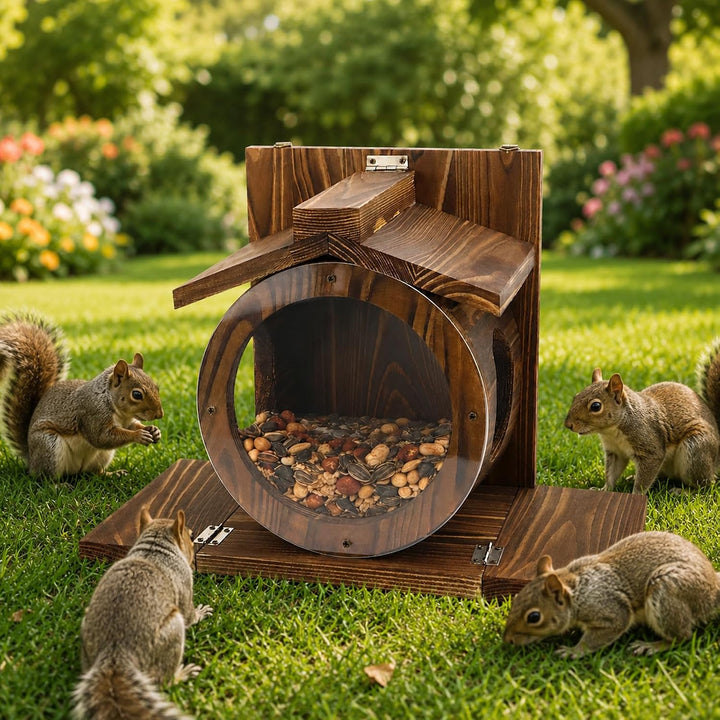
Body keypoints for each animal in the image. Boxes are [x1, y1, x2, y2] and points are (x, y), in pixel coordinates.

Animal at [0, 311, 163, 477]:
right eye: (137, 395)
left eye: (156, 387)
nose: (159, 414)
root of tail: (31, 458)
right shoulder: (92, 414)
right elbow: (102, 438)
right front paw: (138, 435)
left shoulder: (126, 421)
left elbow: (132, 425)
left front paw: (153, 430)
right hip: (49, 446)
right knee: (45, 476)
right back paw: (59, 482)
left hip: (102, 456)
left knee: (95, 472)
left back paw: (112, 474)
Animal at [72, 507, 213, 720]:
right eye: (190, 536)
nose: (194, 543)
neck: (154, 547)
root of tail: (115, 652)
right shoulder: (184, 584)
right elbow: (190, 615)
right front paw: (201, 612)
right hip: (173, 631)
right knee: (164, 679)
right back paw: (182, 674)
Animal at [503, 531, 720, 658]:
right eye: (516, 598)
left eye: (534, 617)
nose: (508, 640)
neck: (576, 591)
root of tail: (713, 591)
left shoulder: (609, 610)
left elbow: (605, 631)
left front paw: (574, 651)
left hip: (666, 591)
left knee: (681, 636)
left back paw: (652, 646)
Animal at [563, 339, 720, 494]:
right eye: (576, 396)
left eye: (596, 406)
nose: (568, 424)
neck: (612, 431)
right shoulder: (615, 452)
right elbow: (611, 474)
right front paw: (604, 489)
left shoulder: (650, 449)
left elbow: (644, 479)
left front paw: (635, 495)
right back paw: (633, 477)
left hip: (696, 451)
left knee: (705, 485)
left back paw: (684, 491)